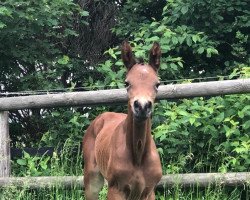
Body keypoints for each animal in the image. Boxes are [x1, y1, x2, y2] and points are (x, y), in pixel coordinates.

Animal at [83, 41, 163, 199]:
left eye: (157, 84)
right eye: (127, 83)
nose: (142, 106)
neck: (138, 156)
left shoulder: (149, 191)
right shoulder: (116, 189)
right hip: (92, 181)